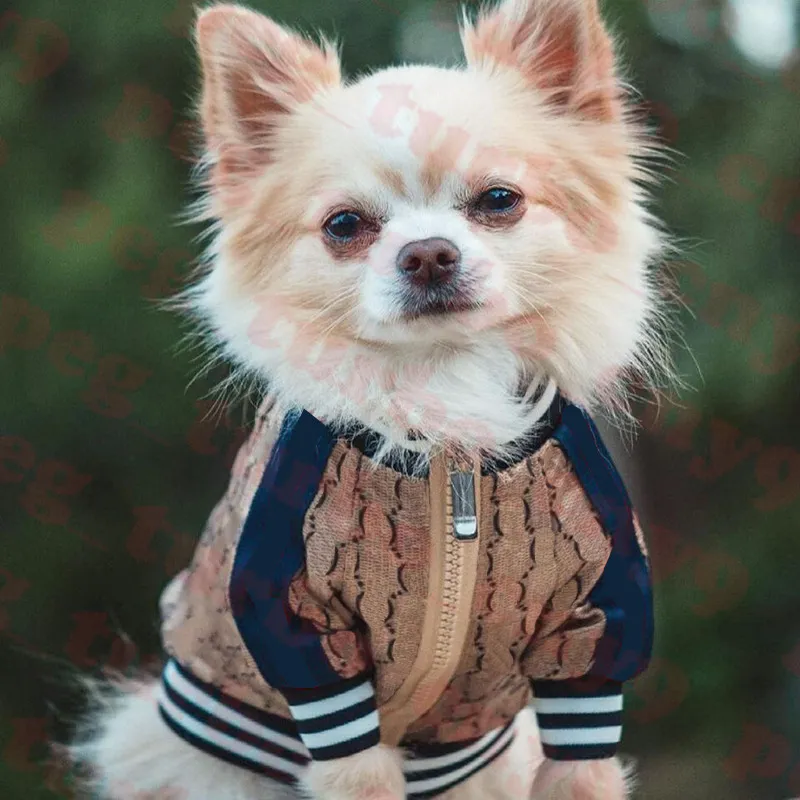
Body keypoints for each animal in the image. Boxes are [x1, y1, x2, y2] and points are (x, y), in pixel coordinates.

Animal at [69, 0, 672, 796]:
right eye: (345, 226)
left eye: (499, 201)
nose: (428, 254)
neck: (448, 429)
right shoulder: (304, 637)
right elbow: (359, 771)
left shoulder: (591, 636)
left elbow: (583, 768)